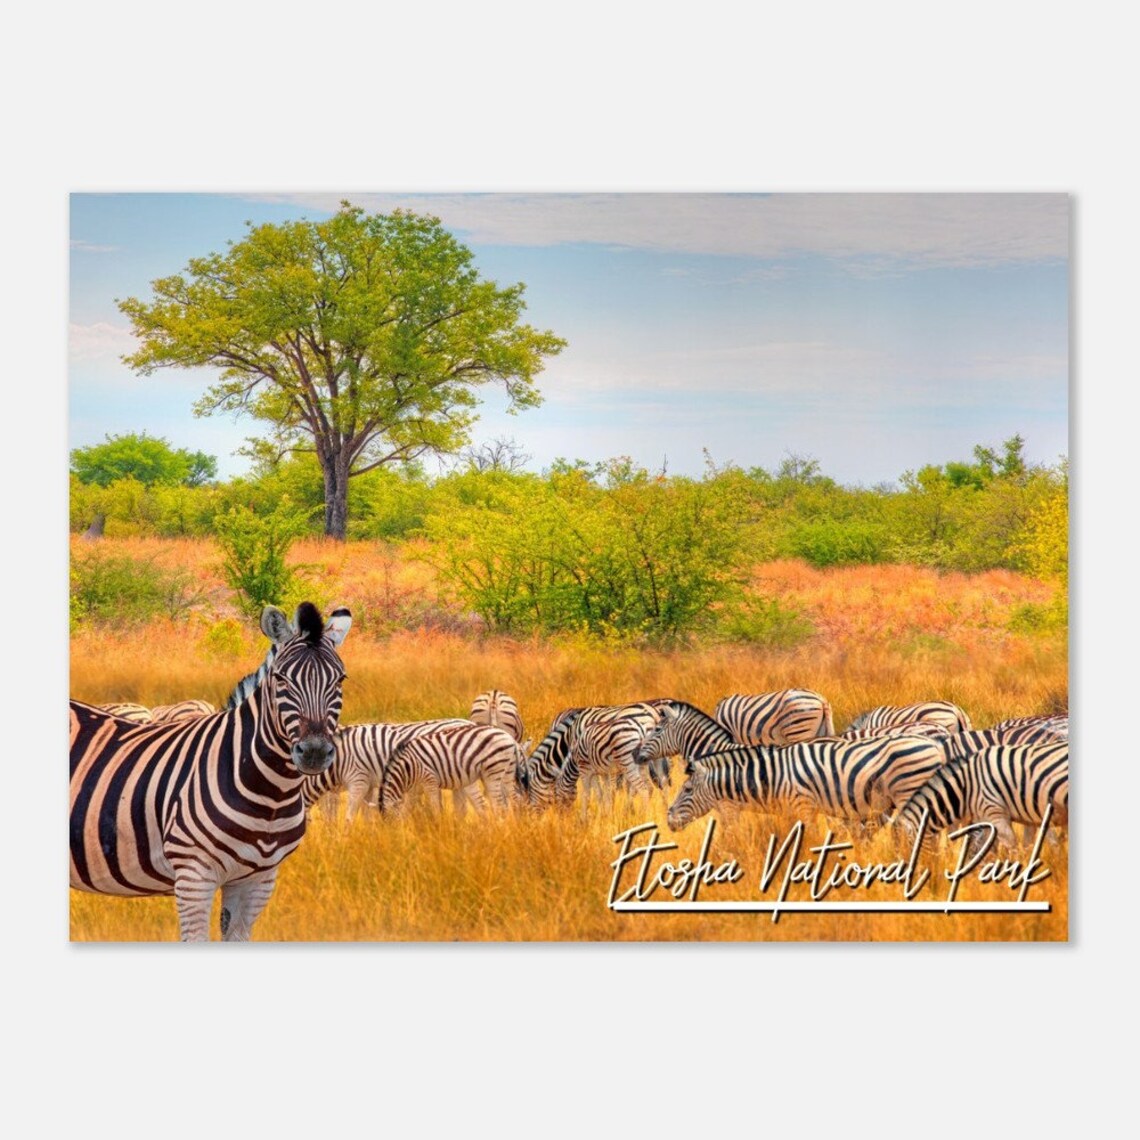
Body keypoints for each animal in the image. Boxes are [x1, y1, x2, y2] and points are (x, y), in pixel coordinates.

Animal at [70, 602, 352, 942]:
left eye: (340, 680)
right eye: (282, 679)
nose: (314, 752)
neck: (271, 795)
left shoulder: (257, 880)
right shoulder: (194, 875)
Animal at [379, 723, 524, 816]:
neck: (408, 768)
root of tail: (509, 737)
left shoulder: (429, 779)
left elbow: (435, 807)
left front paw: (438, 826)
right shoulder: (416, 786)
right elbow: (409, 807)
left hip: (493, 770)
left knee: (499, 804)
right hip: (508, 770)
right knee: (515, 799)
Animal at [664, 734, 948, 833]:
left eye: (687, 790)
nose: (668, 820)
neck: (772, 777)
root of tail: (934, 743)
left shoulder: (804, 807)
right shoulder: (791, 812)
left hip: (911, 791)